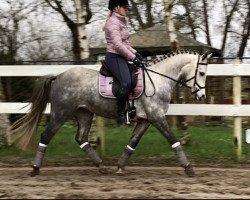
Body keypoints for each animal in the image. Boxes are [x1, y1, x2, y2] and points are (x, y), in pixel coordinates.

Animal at [10, 50, 212, 177]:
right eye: (202, 73)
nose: (202, 96)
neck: (158, 79)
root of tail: (58, 76)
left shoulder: (146, 120)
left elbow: (133, 142)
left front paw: (120, 167)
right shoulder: (157, 117)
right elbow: (173, 140)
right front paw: (189, 168)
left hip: (84, 114)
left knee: (81, 138)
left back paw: (101, 166)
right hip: (60, 114)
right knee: (46, 136)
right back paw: (35, 169)